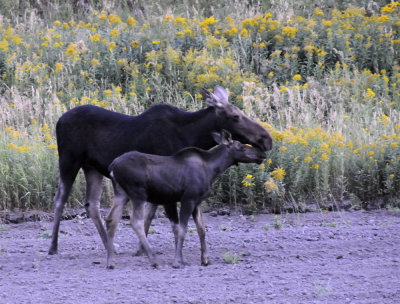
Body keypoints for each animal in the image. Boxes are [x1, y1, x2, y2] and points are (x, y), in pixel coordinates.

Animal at [47, 85, 272, 254]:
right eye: (235, 116)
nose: (267, 139)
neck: (193, 135)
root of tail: (58, 121)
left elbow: (150, 214)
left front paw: (141, 248)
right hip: (69, 160)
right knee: (60, 199)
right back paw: (53, 247)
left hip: (91, 167)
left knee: (91, 204)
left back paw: (109, 246)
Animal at [105, 131, 266, 268]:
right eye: (240, 146)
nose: (261, 153)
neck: (213, 170)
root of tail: (112, 166)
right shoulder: (188, 199)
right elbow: (183, 229)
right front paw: (177, 261)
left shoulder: (197, 201)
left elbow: (201, 229)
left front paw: (204, 259)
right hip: (138, 194)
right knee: (136, 222)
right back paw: (154, 260)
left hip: (121, 194)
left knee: (111, 219)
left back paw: (111, 262)